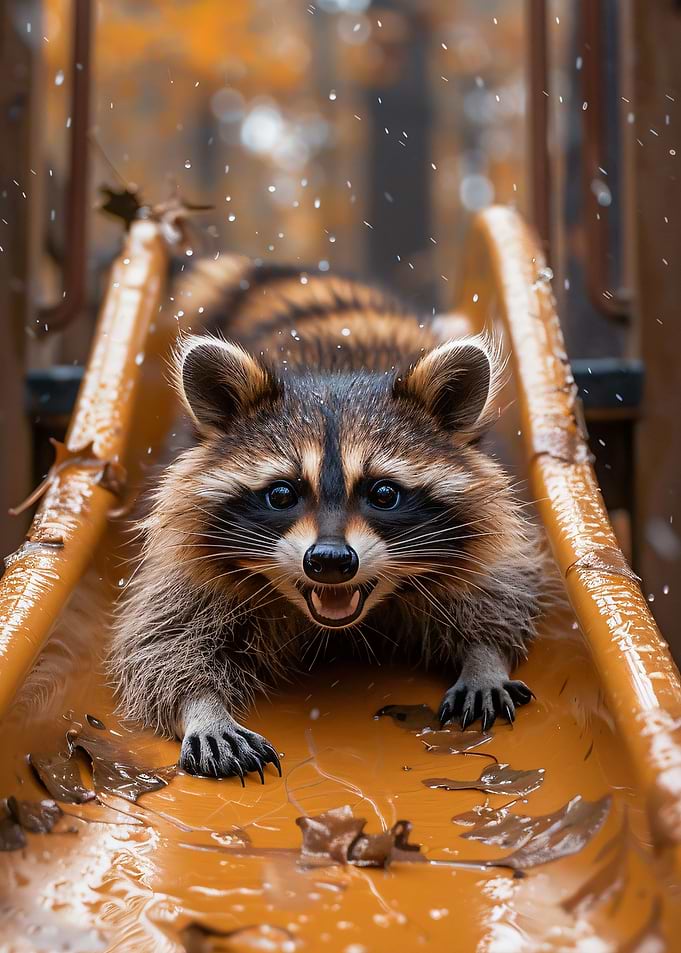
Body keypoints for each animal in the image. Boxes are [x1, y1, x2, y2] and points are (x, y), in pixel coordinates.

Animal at [108, 258, 544, 782]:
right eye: (282, 494)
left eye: (383, 494)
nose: (331, 560)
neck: (334, 375)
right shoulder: (186, 558)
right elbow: (161, 638)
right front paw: (202, 706)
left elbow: (498, 588)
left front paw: (484, 655)